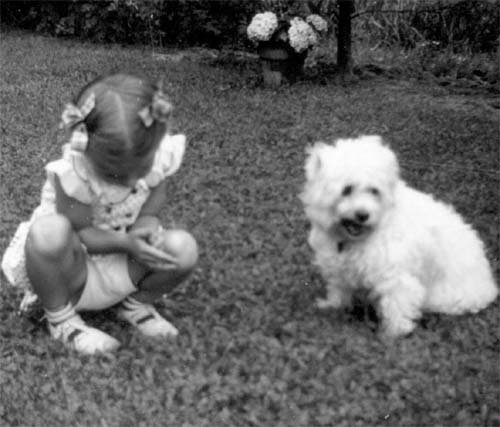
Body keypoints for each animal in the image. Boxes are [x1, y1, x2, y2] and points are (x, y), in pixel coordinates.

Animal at [298, 136, 498, 338]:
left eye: (374, 191)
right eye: (347, 190)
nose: (363, 215)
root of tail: (489, 287)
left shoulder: (396, 277)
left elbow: (397, 306)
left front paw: (393, 335)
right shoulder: (339, 266)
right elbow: (339, 290)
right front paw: (331, 307)